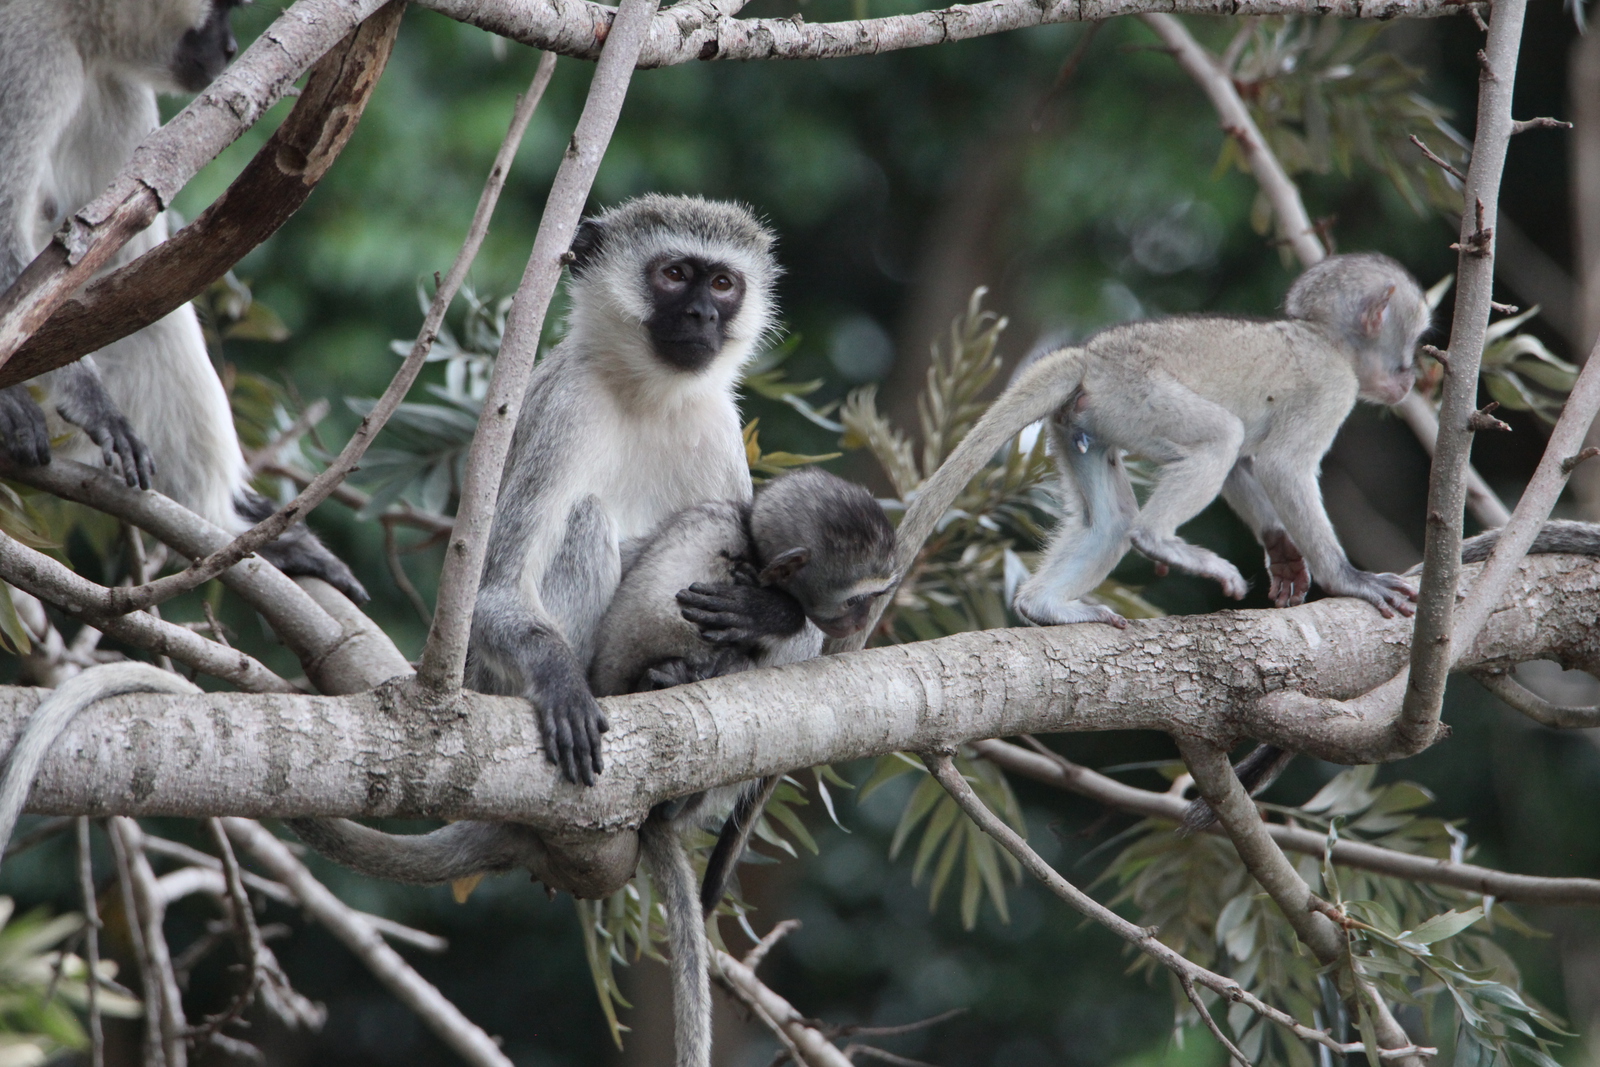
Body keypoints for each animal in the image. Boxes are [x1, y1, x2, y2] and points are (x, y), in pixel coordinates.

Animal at [0, 0, 366, 601]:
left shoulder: (113, 87)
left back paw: (229, 529)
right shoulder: (27, 55)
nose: (230, 47)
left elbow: (118, 267)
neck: (76, 25)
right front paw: (85, 398)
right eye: (222, 11)